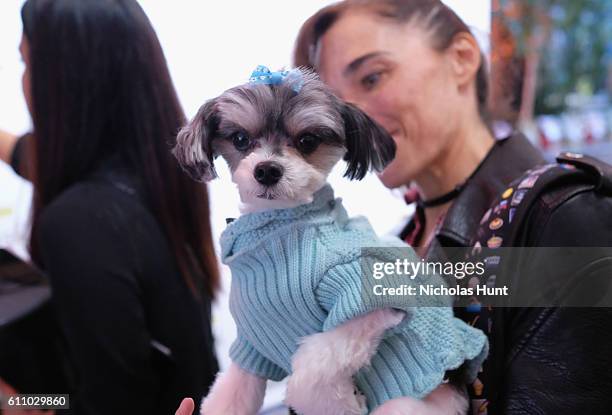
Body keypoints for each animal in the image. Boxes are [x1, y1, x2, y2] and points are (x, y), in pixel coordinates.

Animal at [173, 66, 488, 414]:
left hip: (406, 404)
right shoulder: (252, 345)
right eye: (241, 139)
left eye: (307, 140)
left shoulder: (368, 301)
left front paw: (345, 403)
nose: (267, 170)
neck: (280, 227)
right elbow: (232, 393)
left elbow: (310, 371)